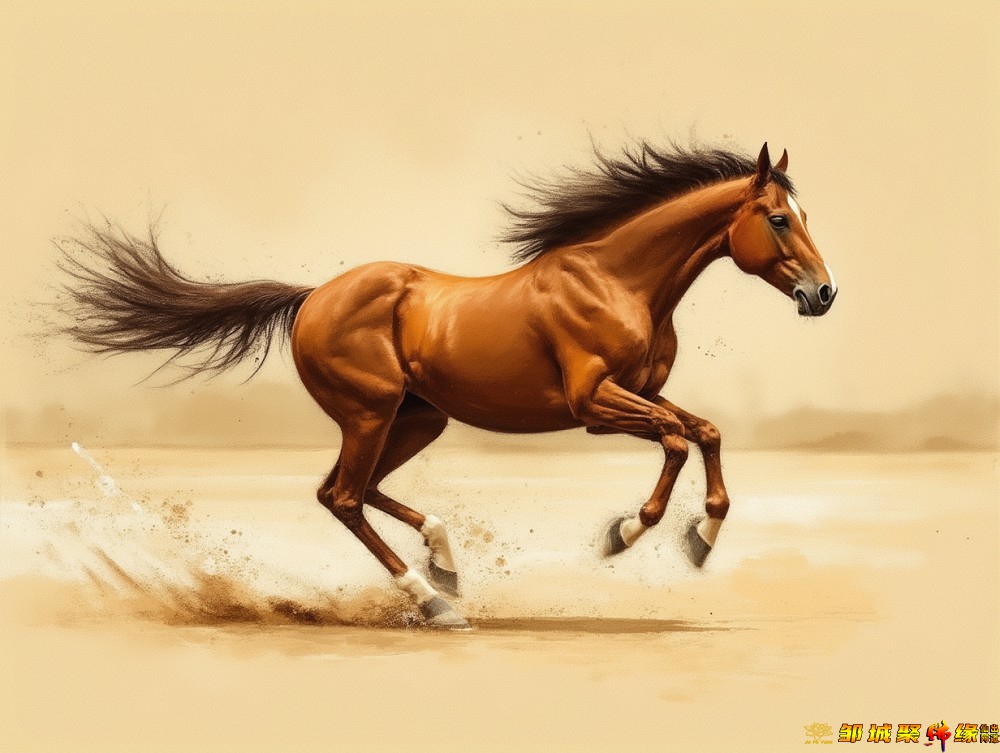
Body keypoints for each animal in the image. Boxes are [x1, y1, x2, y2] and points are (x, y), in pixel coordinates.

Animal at [59, 142, 836, 630]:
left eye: (804, 216)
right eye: (777, 218)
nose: (823, 294)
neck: (620, 281)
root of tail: (312, 297)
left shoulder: (640, 392)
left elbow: (705, 429)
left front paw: (701, 536)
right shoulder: (593, 402)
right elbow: (676, 438)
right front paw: (625, 532)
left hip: (416, 417)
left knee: (349, 490)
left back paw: (444, 563)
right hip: (371, 412)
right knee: (344, 495)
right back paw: (436, 603)